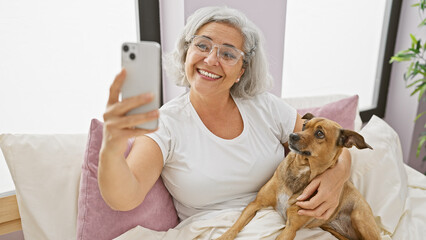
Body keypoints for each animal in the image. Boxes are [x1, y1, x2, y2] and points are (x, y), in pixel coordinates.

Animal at [218, 113, 382, 239]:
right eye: (304, 126)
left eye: (320, 133)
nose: (292, 135)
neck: (301, 170)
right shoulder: (255, 204)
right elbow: (235, 226)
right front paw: (223, 236)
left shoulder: (290, 228)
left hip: (360, 218)